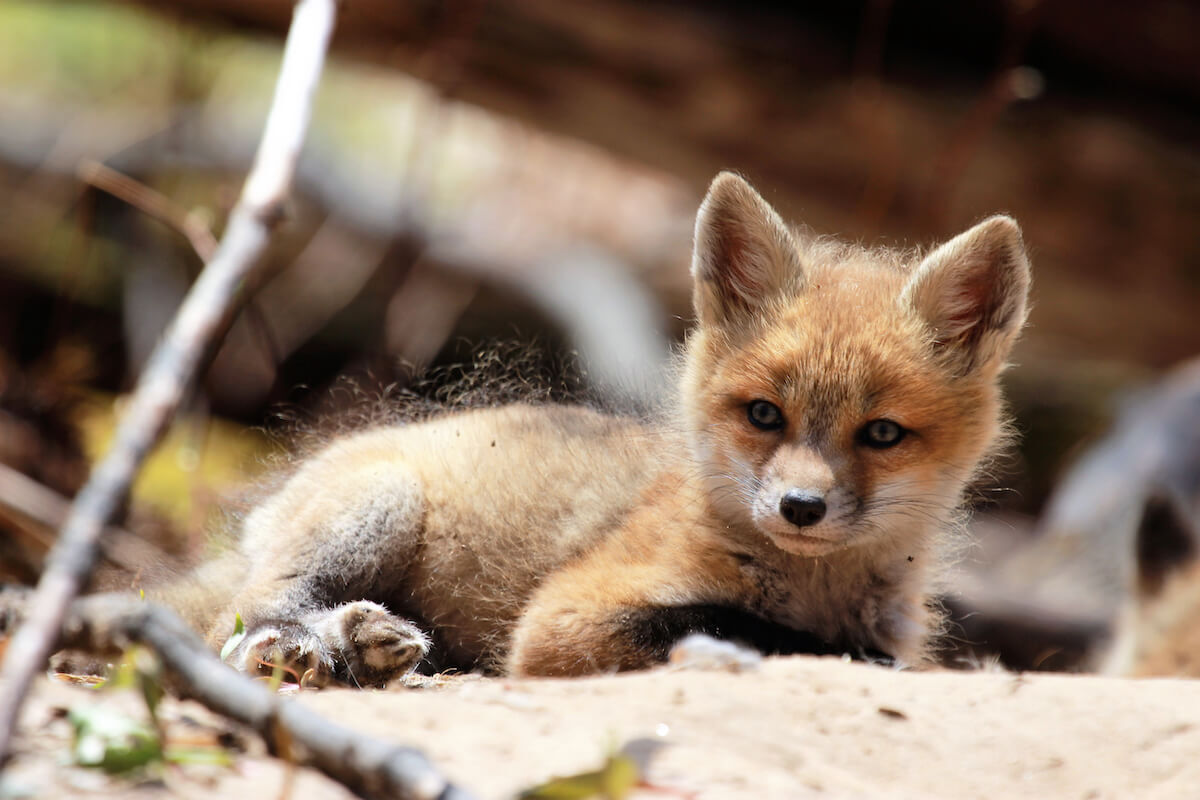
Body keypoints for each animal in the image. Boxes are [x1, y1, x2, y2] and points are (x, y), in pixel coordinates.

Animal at [149, 171, 1031, 684]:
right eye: (764, 415)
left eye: (881, 434)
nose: (800, 510)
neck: (815, 588)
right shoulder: (560, 625)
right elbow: (744, 626)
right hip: (380, 505)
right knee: (243, 619)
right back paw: (311, 645)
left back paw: (364, 646)